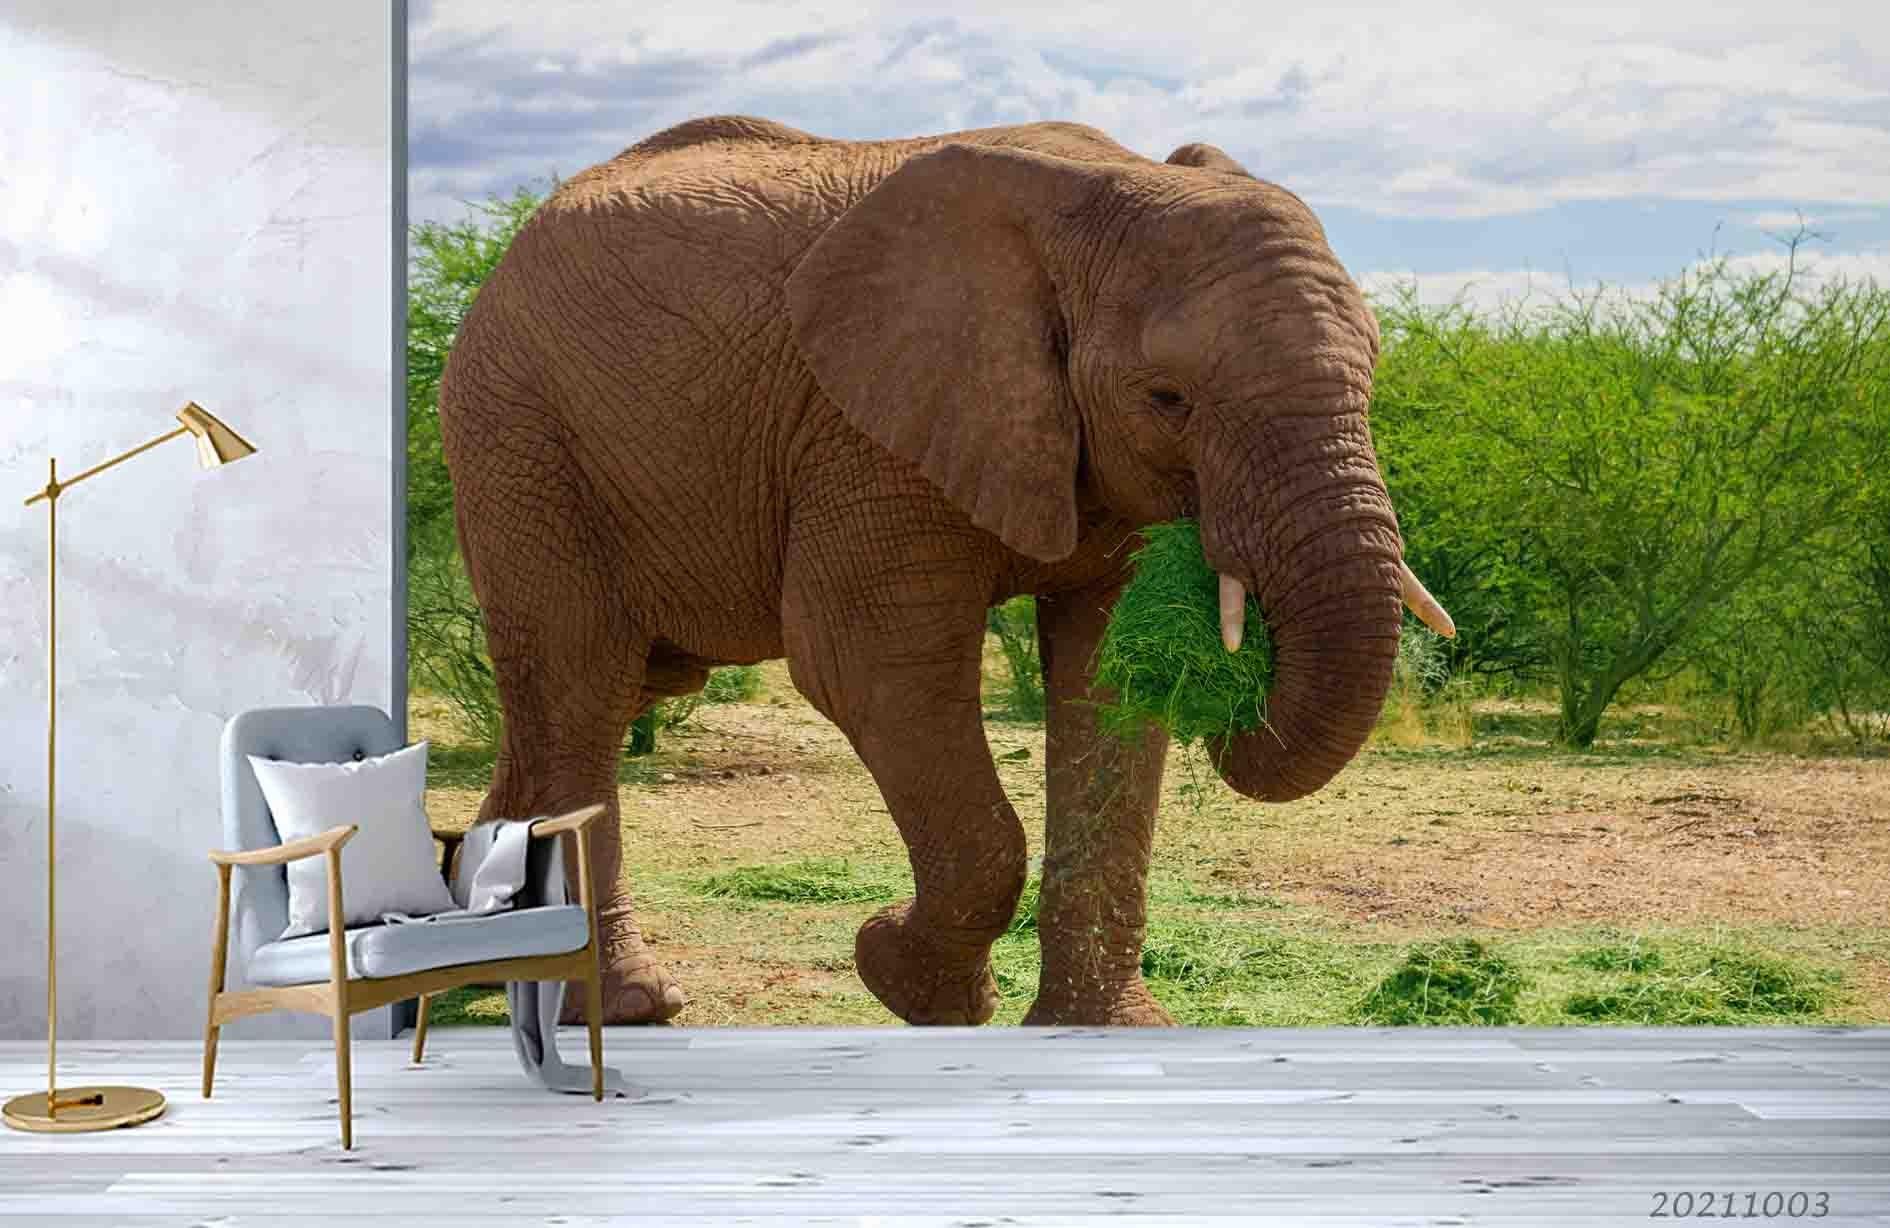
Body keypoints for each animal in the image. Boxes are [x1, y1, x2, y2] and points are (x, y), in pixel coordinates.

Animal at [437, 114, 1452, 1027]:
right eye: (1169, 399)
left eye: (1373, 375)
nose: (1239, 697)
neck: (1094, 195)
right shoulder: (863, 431)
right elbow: (872, 664)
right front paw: (906, 980)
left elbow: (1107, 675)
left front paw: (1105, 1032)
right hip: (521, 438)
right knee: (582, 685)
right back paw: (622, 1003)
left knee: (598, 697)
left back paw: (478, 948)